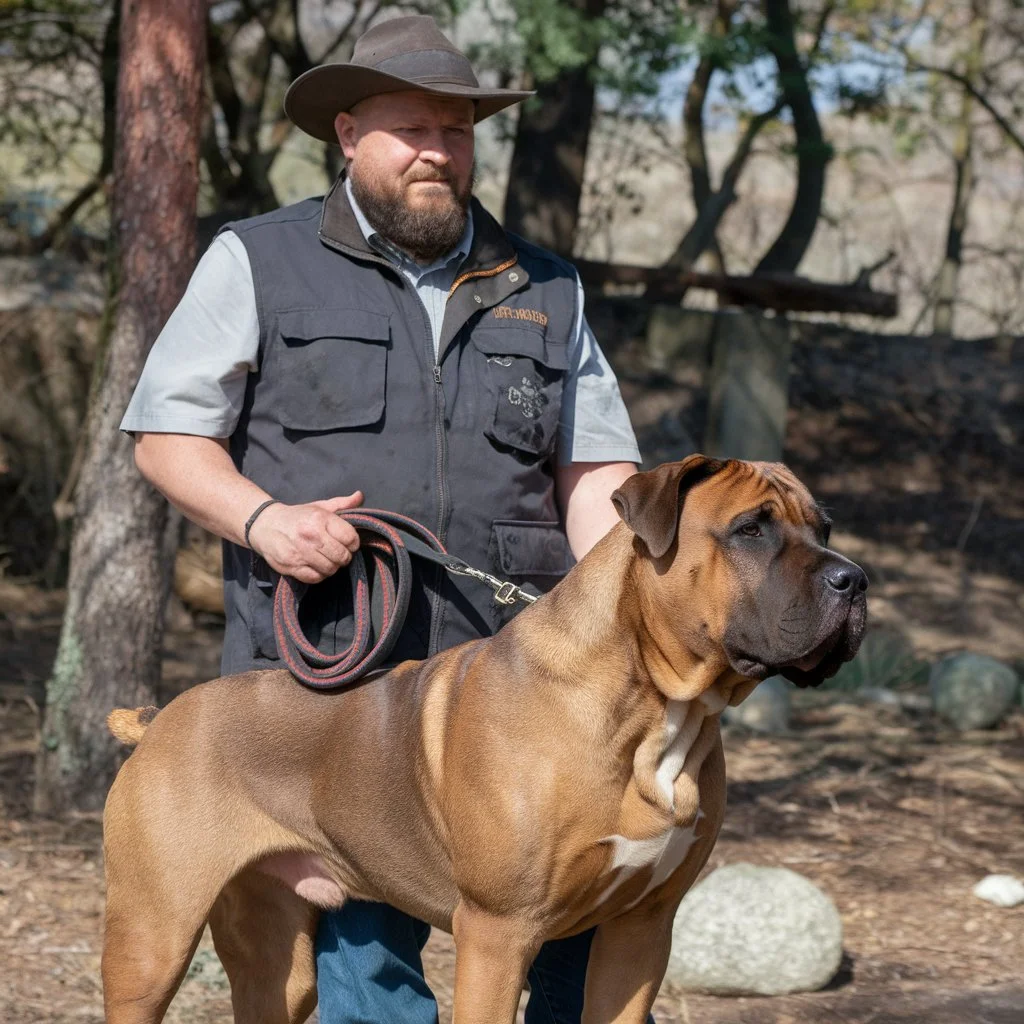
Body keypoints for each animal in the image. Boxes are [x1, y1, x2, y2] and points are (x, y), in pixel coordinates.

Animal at [101, 458, 864, 1024]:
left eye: (824, 526)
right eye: (751, 530)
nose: (854, 578)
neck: (659, 710)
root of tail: (160, 718)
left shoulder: (641, 929)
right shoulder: (498, 933)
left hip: (277, 962)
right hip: (151, 939)